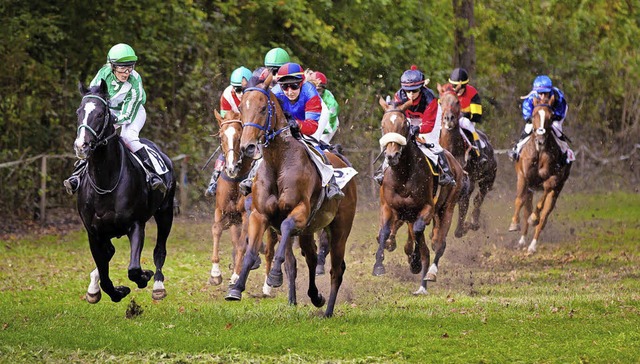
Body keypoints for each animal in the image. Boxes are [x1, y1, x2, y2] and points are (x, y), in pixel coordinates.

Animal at [73, 80, 175, 304]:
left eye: (101, 114)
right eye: (78, 112)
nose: (81, 145)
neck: (106, 181)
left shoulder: (135, 224)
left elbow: (134, 269)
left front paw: (145, 276)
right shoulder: (94, 233)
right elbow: (104, 274)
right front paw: (114, 291)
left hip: (166, 212)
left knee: (160, 249)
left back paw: (158, 285)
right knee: (108, 254)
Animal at [225, 73, 358, 316]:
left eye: (262, 108)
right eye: (241, 107)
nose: (248, 147)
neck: (278, 162)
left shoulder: (300, 212)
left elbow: (287, 229)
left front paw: (274, 276)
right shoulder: (260, 215)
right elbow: (252, 252)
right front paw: (236, 288)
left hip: (340, 228)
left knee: (336, 269)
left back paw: (328, 311)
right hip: (309, 230)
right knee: (312, 258)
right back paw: (315, 297)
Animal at [372, 97, 462, 296]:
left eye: (404, 125)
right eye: (383, 125)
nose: (391, 155)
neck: (403, 174)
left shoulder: (426, 208)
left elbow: (420, 233)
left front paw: (416, 260)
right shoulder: (388, 207)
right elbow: (384, 232)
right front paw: (379, 265)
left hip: (447, 208)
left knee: (439, 243)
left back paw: (429, 275)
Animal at [438, 83, 498, 237]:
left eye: (457, 102)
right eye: (441, 102)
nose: (448, 119)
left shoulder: (468, 181)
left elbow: (464, 205)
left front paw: (462, 227)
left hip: (488, 180)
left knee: (478, 199)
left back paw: (474, 222)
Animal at [508, 96, 572, 253]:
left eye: (551, 117)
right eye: (533, 115)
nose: (540, 140)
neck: (539, 152)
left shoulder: (554, 179)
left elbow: (545, 193)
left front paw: (534, 218)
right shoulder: (523, 177)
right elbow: (519, 200)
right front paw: (514, 223)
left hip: (556, 192)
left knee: (543, 218)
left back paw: (532, 245)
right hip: (530, 189)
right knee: (526, 209)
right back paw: (522, 241)